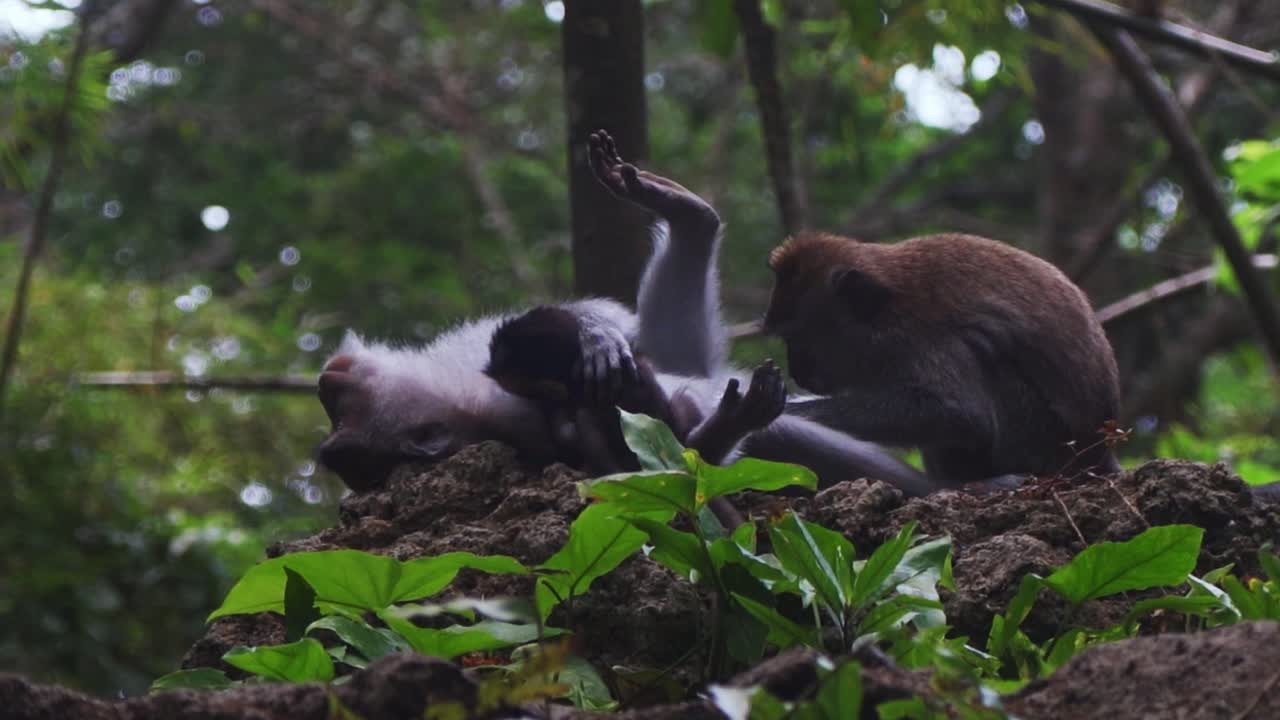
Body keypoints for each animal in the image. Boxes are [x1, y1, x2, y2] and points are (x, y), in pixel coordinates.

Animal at [762, 231, 1123, 489]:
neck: (883, 308)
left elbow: (960, 412)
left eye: (798, 338)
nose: (797, 370)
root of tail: (1099, 455)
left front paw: (788, 410)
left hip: (1047, 446)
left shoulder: (922, 336)